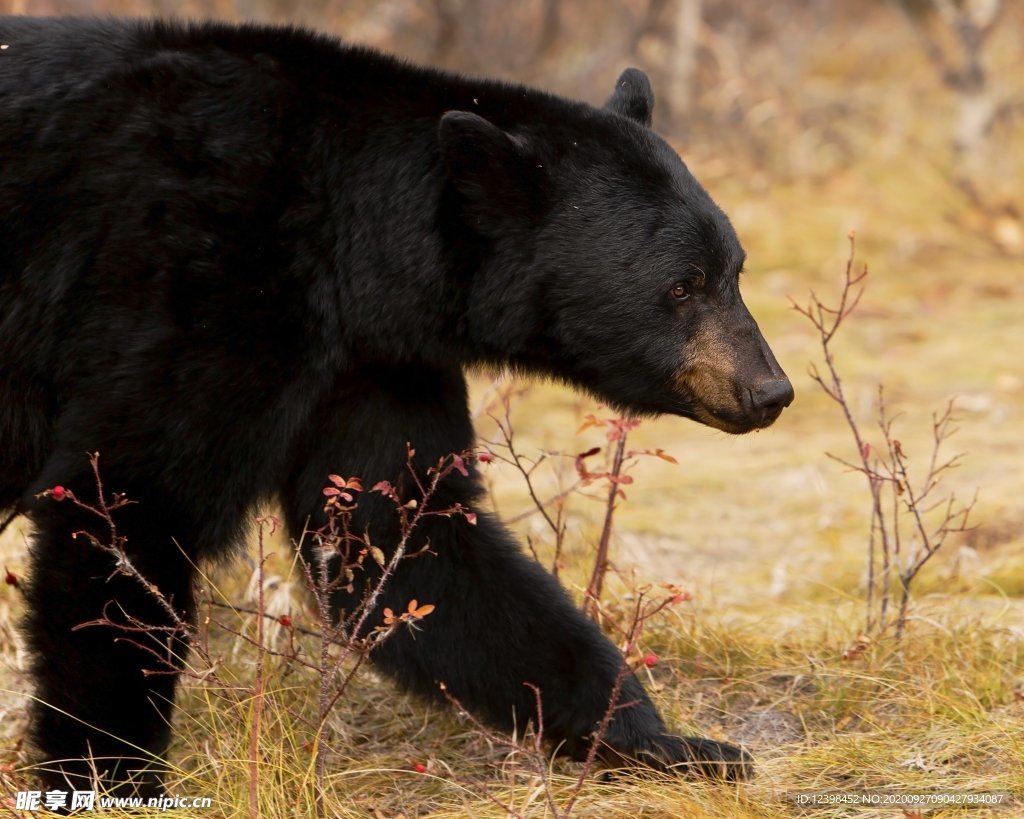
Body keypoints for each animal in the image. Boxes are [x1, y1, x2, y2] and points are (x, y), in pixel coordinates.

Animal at [0, 15, 790, 798]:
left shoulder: (375, 362)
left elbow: (405, 538)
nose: (769, 390)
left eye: (734, 269)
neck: (345, 238)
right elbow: (128, 498)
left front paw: (669, 742)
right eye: (682, 286)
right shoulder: (201, 280)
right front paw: (107, 772)